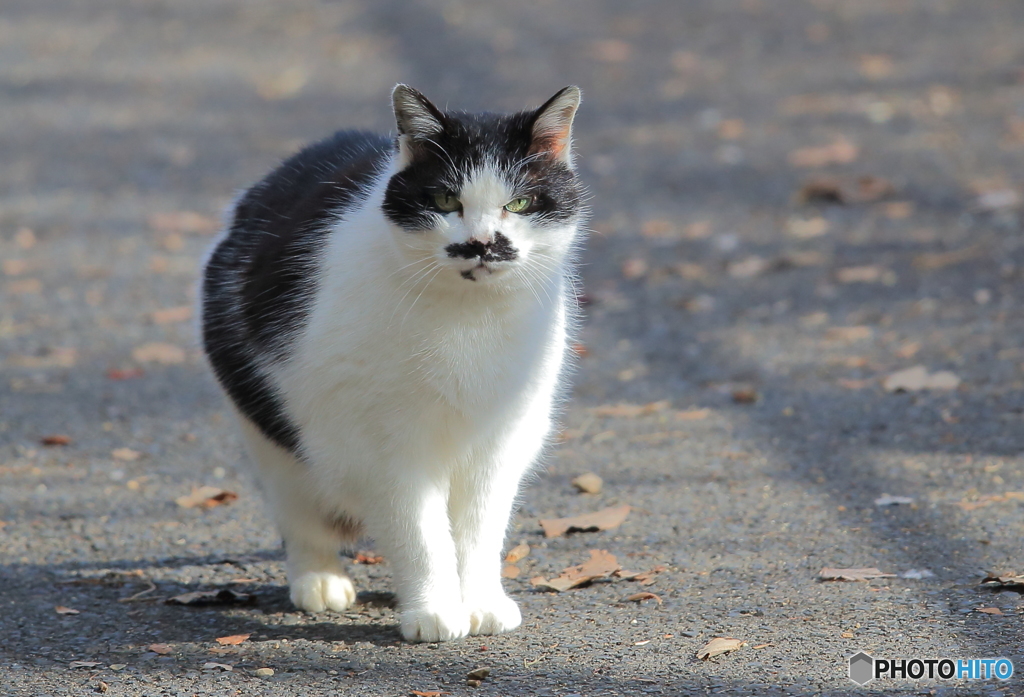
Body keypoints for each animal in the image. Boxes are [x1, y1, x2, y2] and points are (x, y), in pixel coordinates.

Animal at [201, 85, 585, 642]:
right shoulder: (386, 449)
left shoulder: (501, 442)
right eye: (445, 200)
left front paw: (481, 603)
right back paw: (320, 580)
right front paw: (434, 611)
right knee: (300, 515)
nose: (482, 244)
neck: (468, 319)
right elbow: (420, 534)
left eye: (519, 203)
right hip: (273, 436)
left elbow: (479, 532)